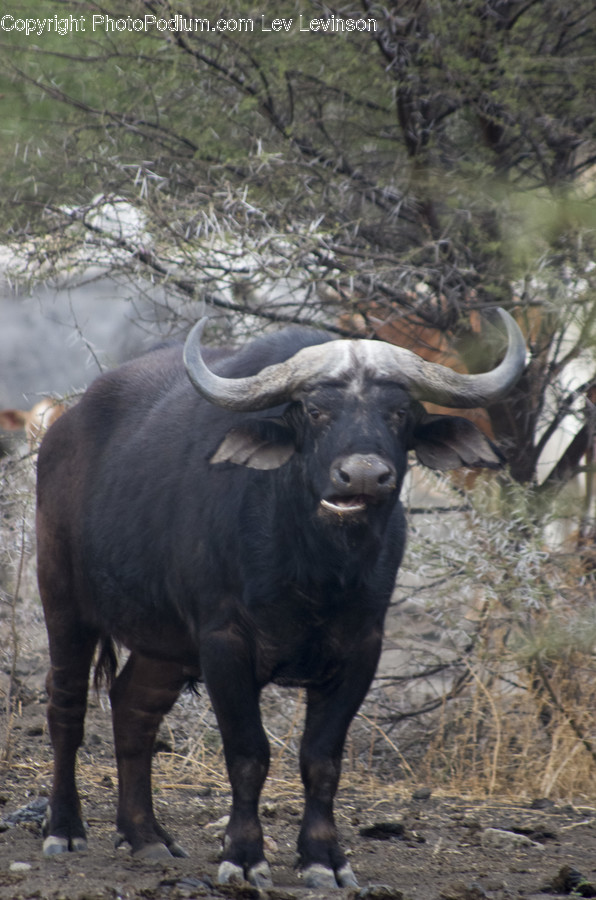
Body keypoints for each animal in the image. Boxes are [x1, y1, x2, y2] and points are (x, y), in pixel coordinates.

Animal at [36, 309, 525, 888]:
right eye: (315, 411)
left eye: (400, 412)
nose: (363, 476)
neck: (316, 569)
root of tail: (63, 428)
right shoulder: (225, 643)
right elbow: (249, 754)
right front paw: (245, 855)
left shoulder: (362, 648)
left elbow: (322, 760)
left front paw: (324, 858)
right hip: (63, 601)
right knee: (66, 707)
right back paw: (65, 828)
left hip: (165, 644)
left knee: (134, 708)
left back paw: (146, 835)